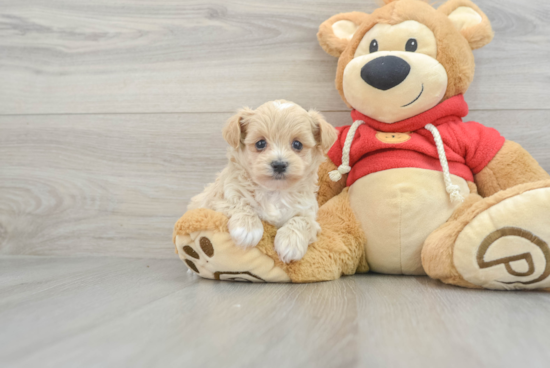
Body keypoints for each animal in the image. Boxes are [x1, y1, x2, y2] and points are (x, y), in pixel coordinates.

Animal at [188, 99, 338, 264]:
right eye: (260, 143)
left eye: (297, 144)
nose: (279, 165)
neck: (275, 191)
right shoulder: (219, 198)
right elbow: (239, 202)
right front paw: (247, 228)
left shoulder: (308, 212)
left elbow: (302, 220)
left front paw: (290, 243)